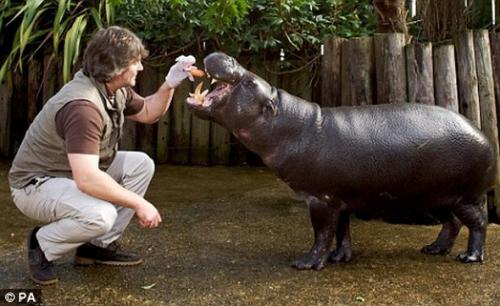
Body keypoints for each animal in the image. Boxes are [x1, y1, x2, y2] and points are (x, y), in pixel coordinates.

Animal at [186, 52, 498, 270]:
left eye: (251, 81)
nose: (227, 56)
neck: (288, 123)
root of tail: (483, 135)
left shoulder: (320, 198)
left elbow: (322, 233)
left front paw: (306, 264)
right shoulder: (340, 197)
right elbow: (341, 231)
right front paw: (340, 258)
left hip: (463, 197)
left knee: (478, 223)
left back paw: (469, 257)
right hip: (436, 197)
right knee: (452, 224)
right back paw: (434, 249)